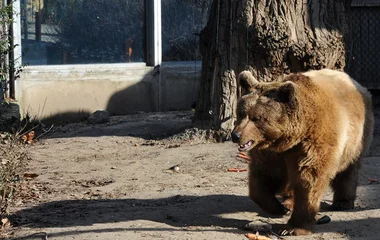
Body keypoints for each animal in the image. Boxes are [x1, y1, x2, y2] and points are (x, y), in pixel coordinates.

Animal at [232, 68, 374, 235]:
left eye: (256, 118)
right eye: (241, 113)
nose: (236, 135)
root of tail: (356, 83)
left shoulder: (313, 142)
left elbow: (308, 179)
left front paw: (293, 227)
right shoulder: (271, 153)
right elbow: (264, 177)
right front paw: (278, 208)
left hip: (357, 139)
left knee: (348, 170)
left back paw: (343, 202)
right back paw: (288, 202)